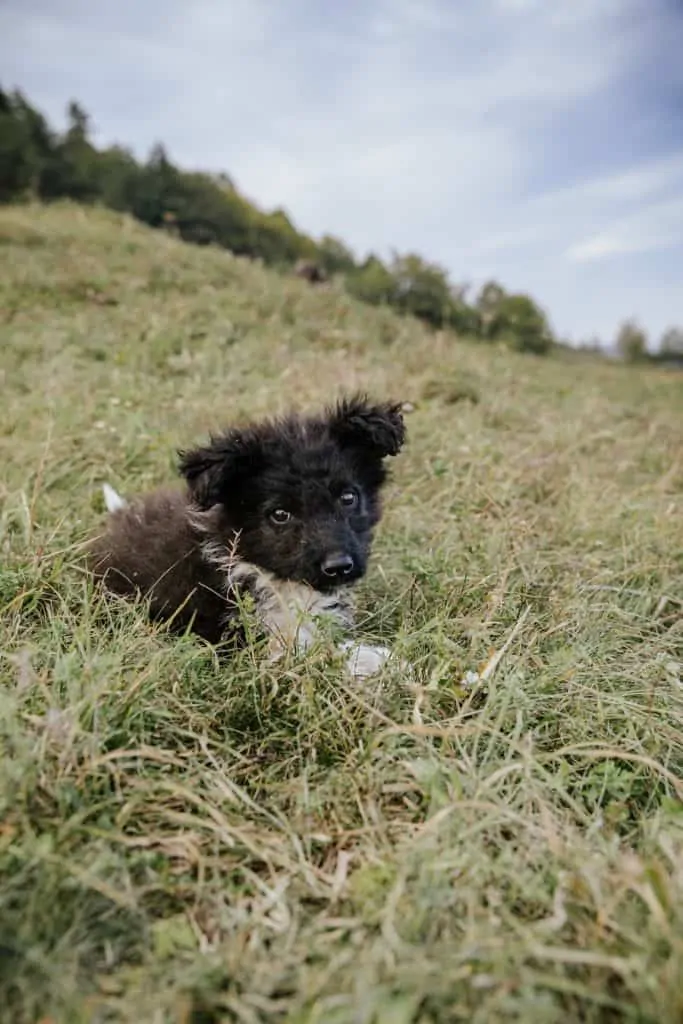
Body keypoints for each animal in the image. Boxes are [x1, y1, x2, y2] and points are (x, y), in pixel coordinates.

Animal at [85, 393, 405, 679]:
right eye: (280, 514)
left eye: (348, 497)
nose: (338, 566)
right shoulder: (236, 642)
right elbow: (302, 653)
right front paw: (371, 660)